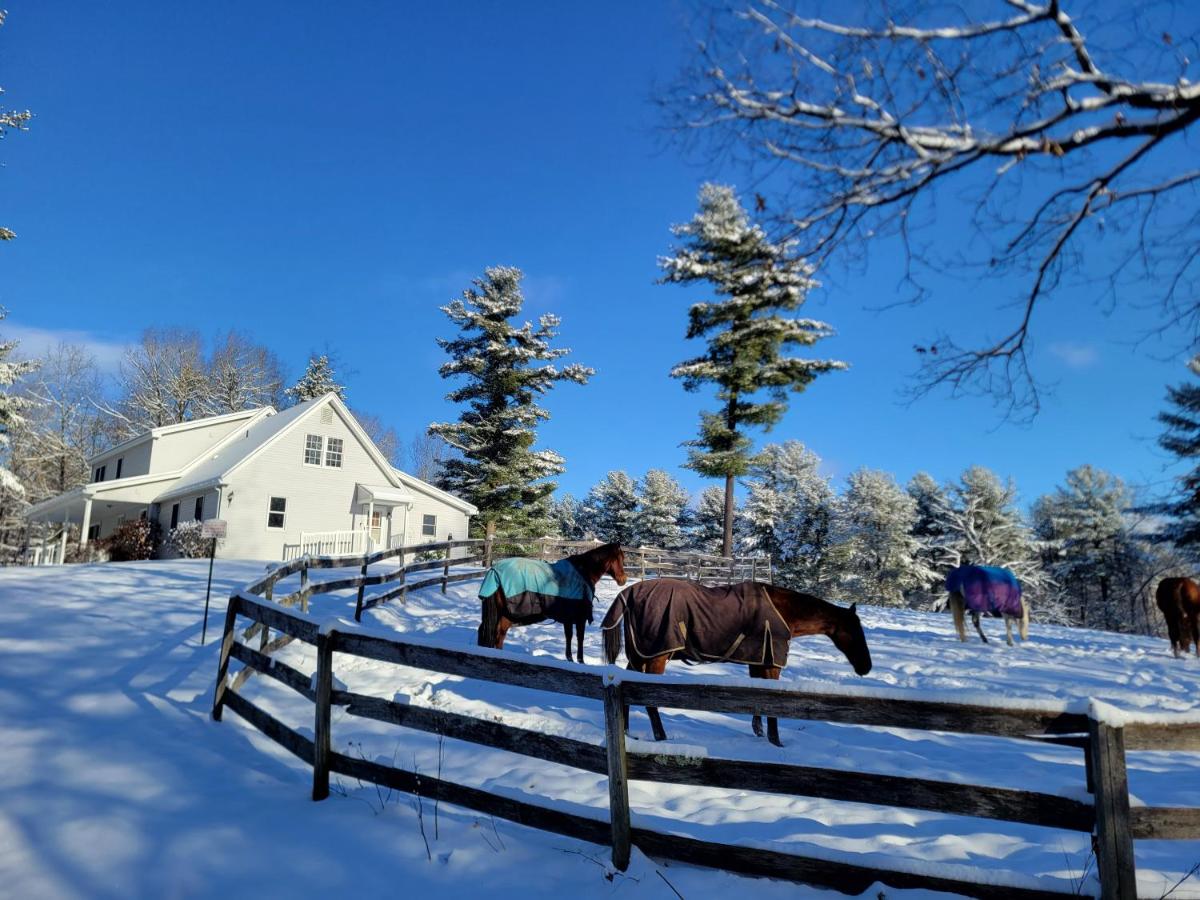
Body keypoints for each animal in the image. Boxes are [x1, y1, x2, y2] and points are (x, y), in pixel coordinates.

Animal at [477, 542, 628, 662]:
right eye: (620, 558)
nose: (623, 579)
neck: (583, 572)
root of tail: (494, 571)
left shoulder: (568, 618)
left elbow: (569, 637)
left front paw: (570, 659)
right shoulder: (580, 618)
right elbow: (579, 638)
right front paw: (580, 661)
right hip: (508, 614)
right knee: (499, 634)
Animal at [600, 580, 873, 748]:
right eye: (854, 631)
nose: (866, 667)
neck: (783, 612)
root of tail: (628, 594)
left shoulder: (758, 662)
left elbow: (758, 700)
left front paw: (759, 732)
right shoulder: (771, 664)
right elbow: (771, 705)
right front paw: (776, 742)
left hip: (640, 656)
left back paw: (628, 733)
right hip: (656, 656)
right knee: (649, 699)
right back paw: (662, 737)